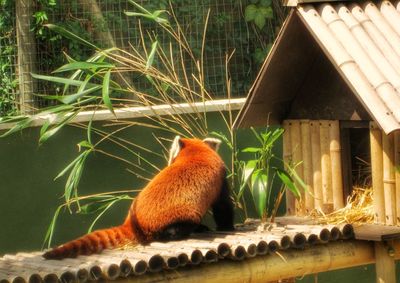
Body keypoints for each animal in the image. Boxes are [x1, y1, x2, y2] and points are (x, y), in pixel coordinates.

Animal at [42, 136, 233, 260]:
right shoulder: (220, 179)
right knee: (178, 227)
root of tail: (132, 222)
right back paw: (193, 229)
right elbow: (223, 206)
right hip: (181, 215)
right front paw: (227, 226)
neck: (196, 151)